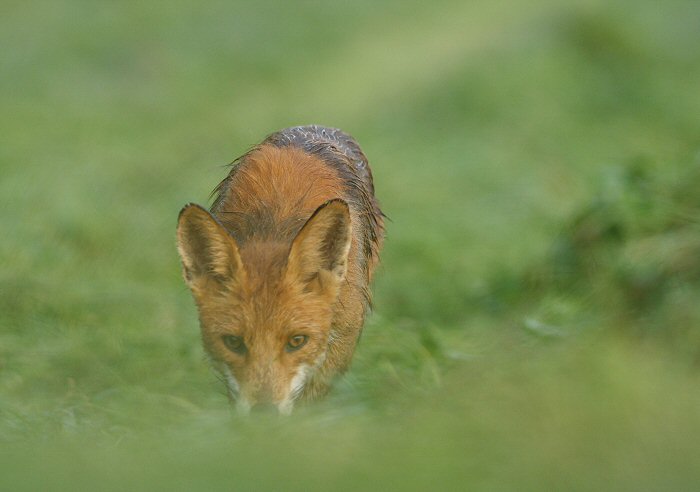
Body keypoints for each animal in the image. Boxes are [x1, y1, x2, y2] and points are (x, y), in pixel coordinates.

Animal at [175, 125, 382, 414]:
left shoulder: (343, 335)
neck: (274, 221)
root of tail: (312, 127)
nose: (264, 416)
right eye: (233, 343)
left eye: (297, 341)